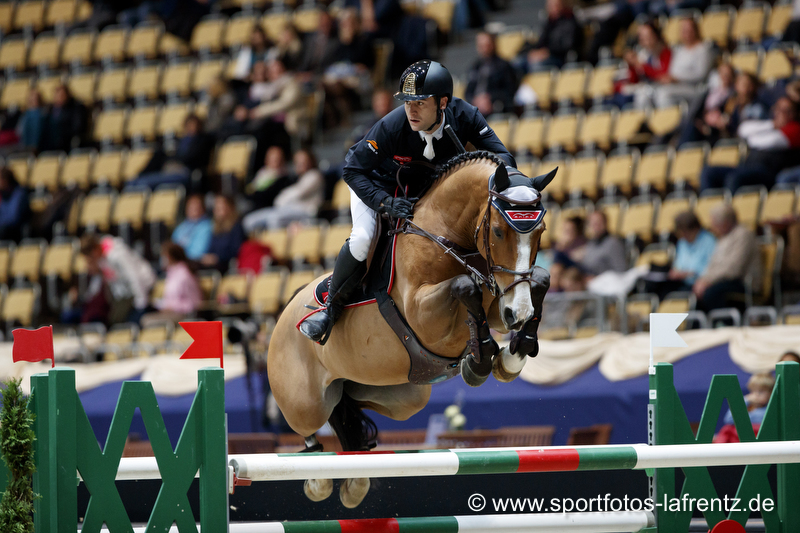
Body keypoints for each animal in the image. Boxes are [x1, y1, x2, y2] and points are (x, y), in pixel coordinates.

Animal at [266, 151, 552, 508]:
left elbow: (539, 280)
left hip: (402, 395)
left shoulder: (501, 298)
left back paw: (355, 478)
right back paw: (317, 478)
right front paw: (481, 359)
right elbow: (464, 285)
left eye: (540, 230)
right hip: (304, 403)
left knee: (347, 409)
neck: (448, 235)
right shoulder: (423, 314)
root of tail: (284, 312)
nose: (519, 313)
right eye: (499, 231)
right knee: (311, 428)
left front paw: (509, 357)